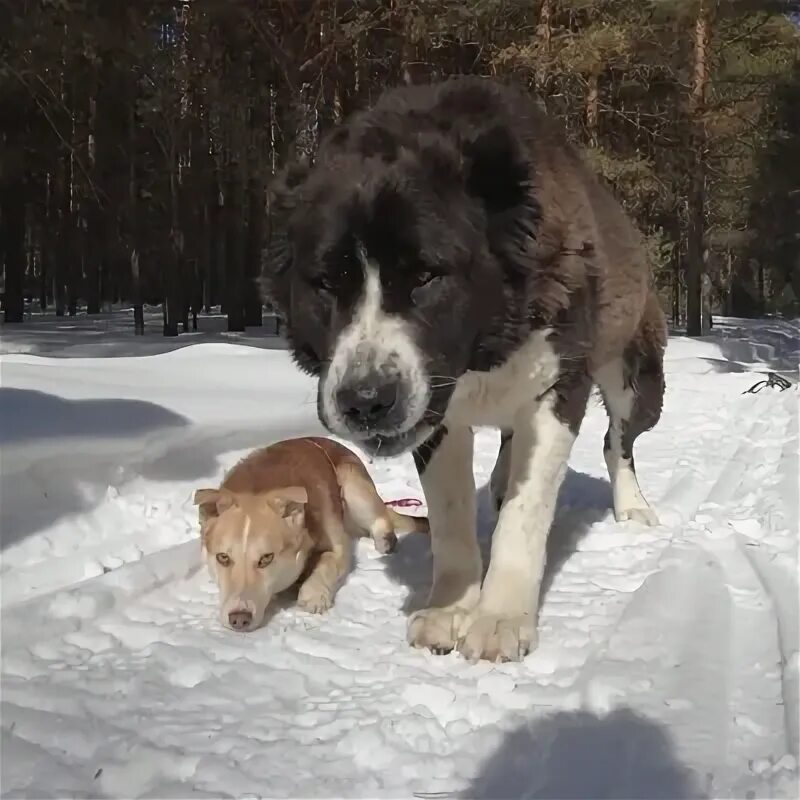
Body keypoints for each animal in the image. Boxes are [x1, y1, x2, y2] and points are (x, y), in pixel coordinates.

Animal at [194, 438, 428, 632]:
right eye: (223, 558)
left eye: (266, 558)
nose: (239, 618)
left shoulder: (338, 546)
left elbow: (327, 562)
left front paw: (313, 594)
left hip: (354, 487)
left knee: (380, 519)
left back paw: (385, 540)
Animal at [264, 76, 668, 664]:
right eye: (326, 283)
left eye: (427, 276)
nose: (365, 400)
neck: (483, 350)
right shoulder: (438, 419)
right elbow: (451, 518)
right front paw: (451, 608)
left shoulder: (559, 387)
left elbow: (526, 514)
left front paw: (500, 618)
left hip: (637, 378)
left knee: (619, 440)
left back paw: (632, 506)